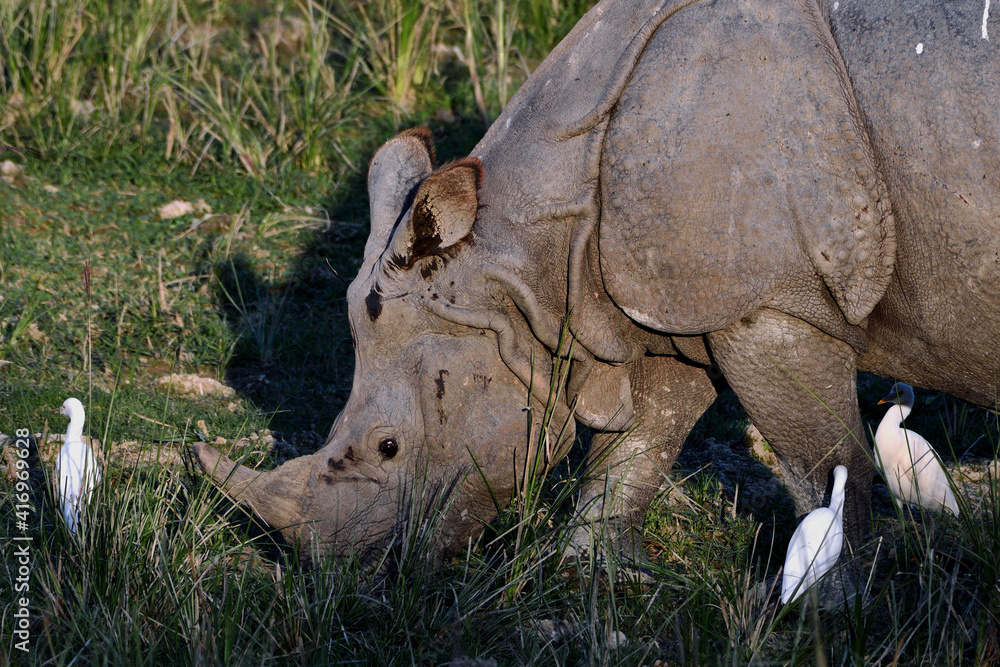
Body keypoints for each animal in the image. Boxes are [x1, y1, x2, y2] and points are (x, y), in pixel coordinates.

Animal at [195, 0, 1000, 569]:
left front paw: (834, 605)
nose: (341, 572)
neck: (525, 251)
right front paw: (591, 570)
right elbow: (639, 440)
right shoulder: (675, 292)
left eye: (389, 447)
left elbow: (827, 468)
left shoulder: (767, 301)